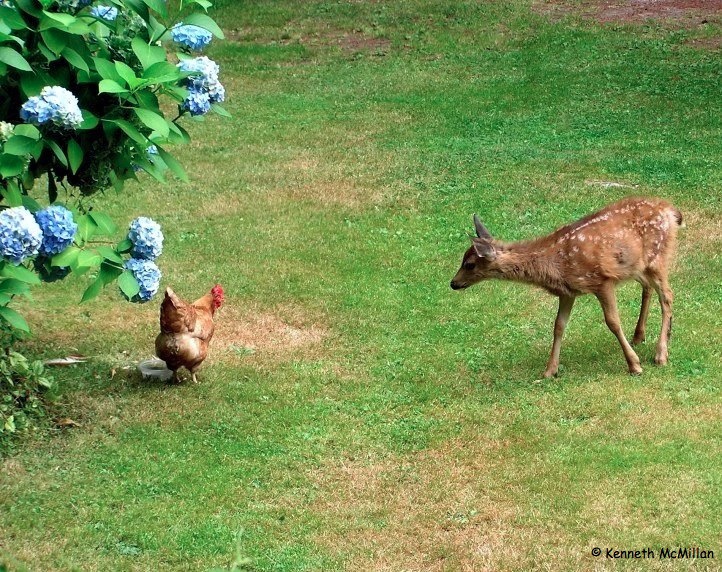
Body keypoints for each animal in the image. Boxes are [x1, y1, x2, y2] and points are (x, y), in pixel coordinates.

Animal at [450, 197, 683, 377]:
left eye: (469, 264)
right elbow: (558, 326)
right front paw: (549, 371)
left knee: (668, 296)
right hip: (636, 266)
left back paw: (661, 354)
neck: (555, 264)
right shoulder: (568, 292)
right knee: (649, 288)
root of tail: (671, 210)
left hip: (657, 257)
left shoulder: (602, 280)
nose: (453, 283)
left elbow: (613, 322)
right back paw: (639, 336)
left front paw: (634, 365)